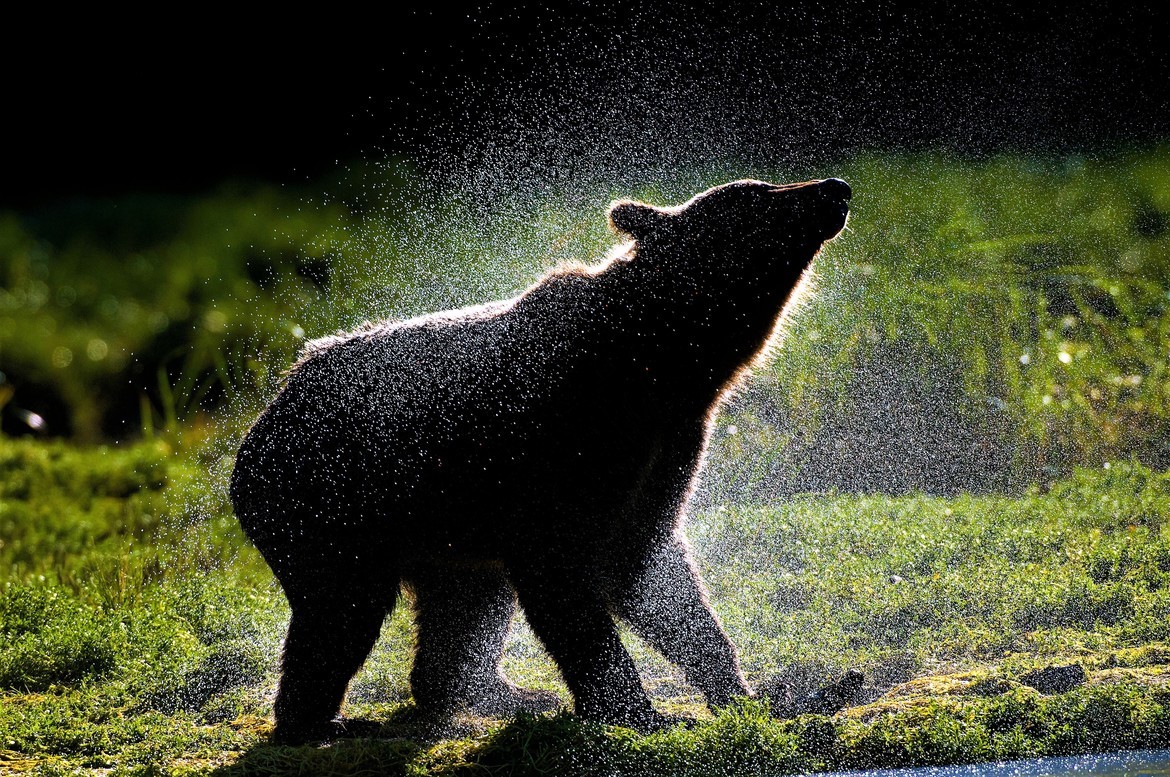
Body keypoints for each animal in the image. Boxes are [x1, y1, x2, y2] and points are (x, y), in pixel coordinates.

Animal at [229, 177, 851, 744]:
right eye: (759, 196)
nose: (835, 188)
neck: (660, 367)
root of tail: (265, 416)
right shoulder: (560, 444)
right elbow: (565, 579)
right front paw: (641, 710)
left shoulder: (664, 448)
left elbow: (654, 571)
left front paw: (742, 694)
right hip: (332, 502)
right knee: (340, 609)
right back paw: (319, 721)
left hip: (448, 531)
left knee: (465, 606)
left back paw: (507, 693)